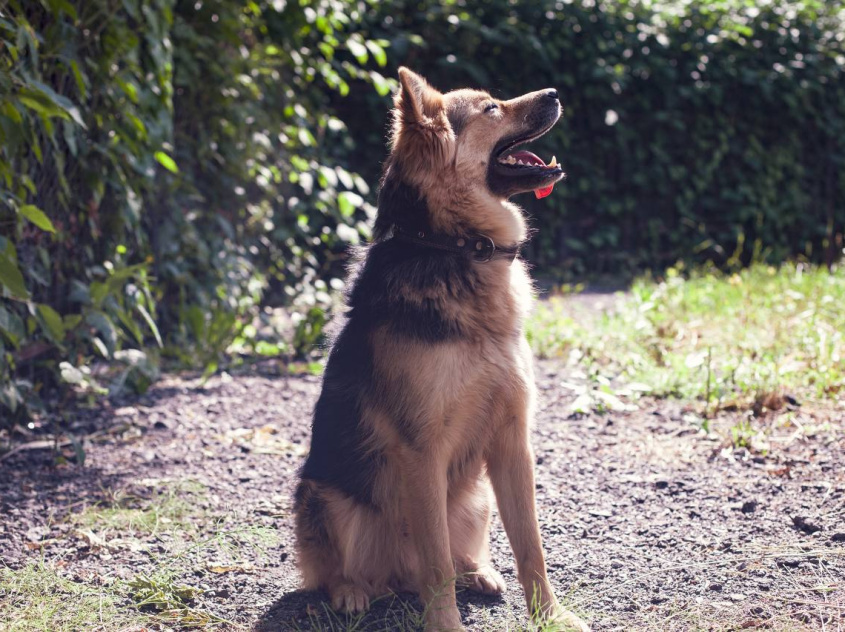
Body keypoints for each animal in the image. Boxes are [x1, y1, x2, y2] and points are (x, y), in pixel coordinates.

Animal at [290, 69, 588, 632]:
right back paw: (351, 592)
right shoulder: (421, 449)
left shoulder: (513, 441)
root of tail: (393, 578)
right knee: (334, 570)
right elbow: (436, 564)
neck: (457, 245)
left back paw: (479, 572)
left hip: (476, 498)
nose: (558, 93)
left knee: (458, 553)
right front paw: (445, 622)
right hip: (326, 496)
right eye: (492, 108)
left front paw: (550, 615)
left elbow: (530, 546)